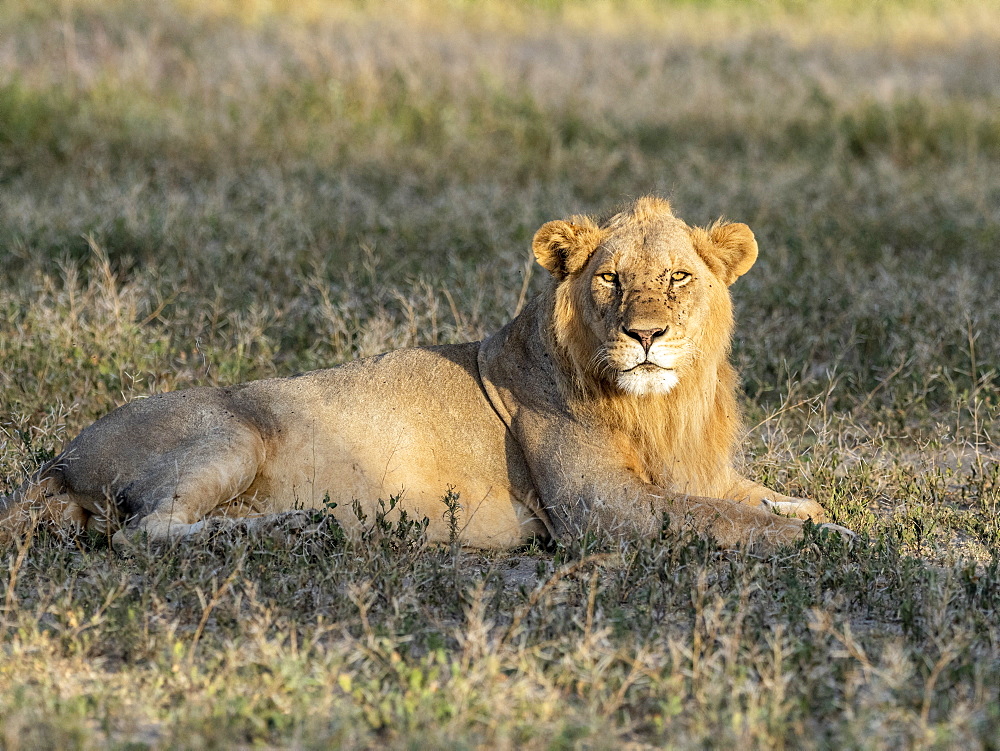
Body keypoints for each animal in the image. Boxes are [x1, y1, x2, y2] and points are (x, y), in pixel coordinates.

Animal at [1, 197, 852, 548]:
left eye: (678, 278)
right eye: (610, 279)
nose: (646, 334)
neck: (658, 406)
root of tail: (58, 460)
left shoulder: (695, 471)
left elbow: (770, 499)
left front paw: (823, 516)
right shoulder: (599, 509)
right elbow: (730, 520)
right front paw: (835, 540)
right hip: (230, 432)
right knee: (141, 534)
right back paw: (295, 528)